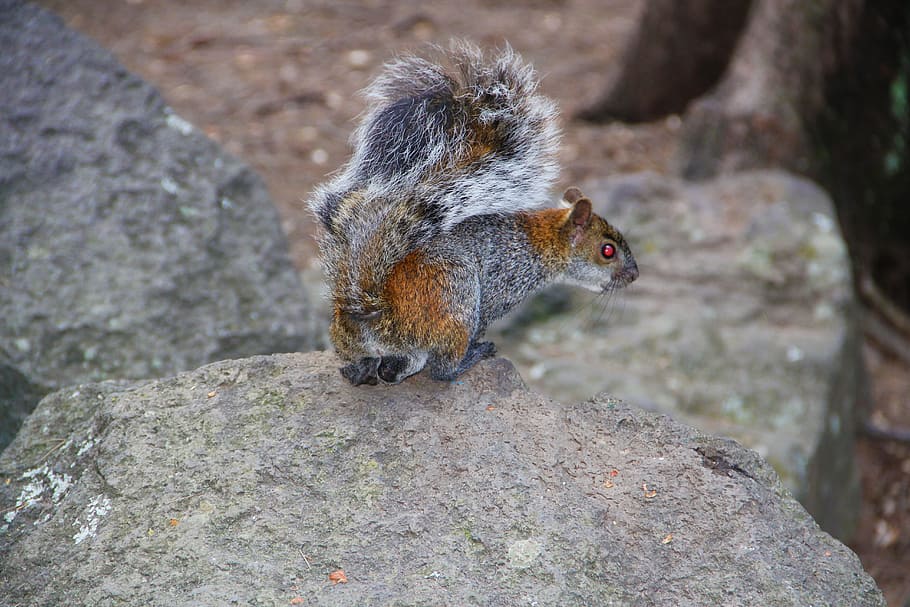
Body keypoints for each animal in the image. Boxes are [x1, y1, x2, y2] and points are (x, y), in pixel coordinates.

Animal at [309, 42, 638, 385]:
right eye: (607, 250)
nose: (634, 275)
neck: (541, 240)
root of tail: (374, 311)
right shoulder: (501, 288)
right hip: (457, 304)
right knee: (442, 368)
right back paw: (470, 357)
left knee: (383, 364)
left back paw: (363, 371)